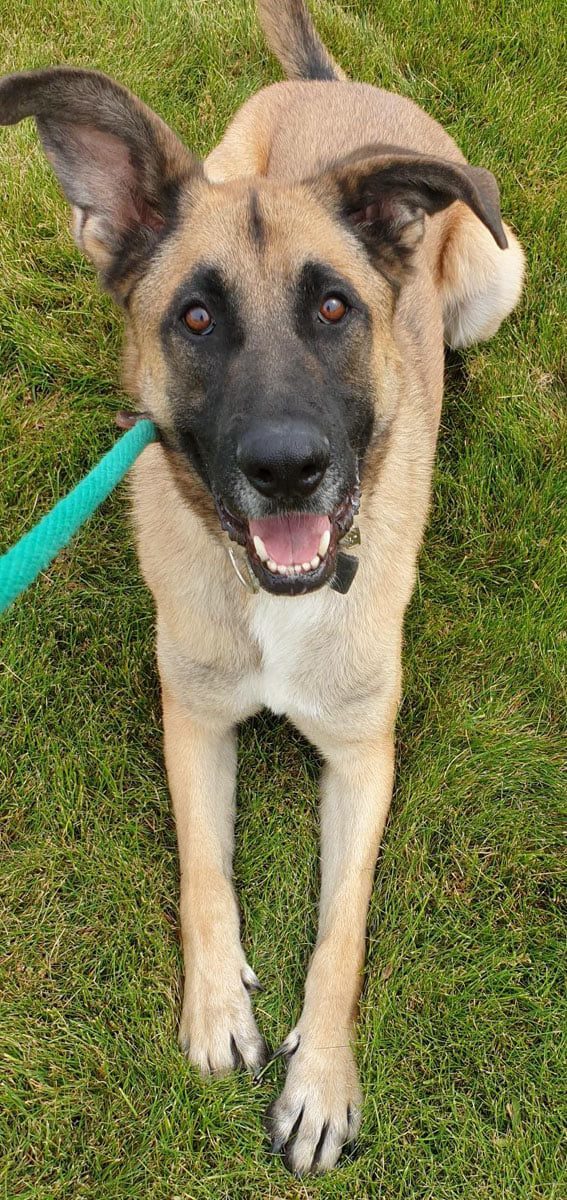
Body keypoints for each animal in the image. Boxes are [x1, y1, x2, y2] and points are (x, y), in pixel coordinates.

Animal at [0, 0, 523, 1176]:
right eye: (195, 321)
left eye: (334, 309)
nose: (288, 467)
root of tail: (345, 86)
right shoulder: (192, 721)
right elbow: (204, 873)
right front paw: (216, 1012)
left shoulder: (365, 758)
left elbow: (343, 932)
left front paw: (322, 1079)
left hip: (496, 277)